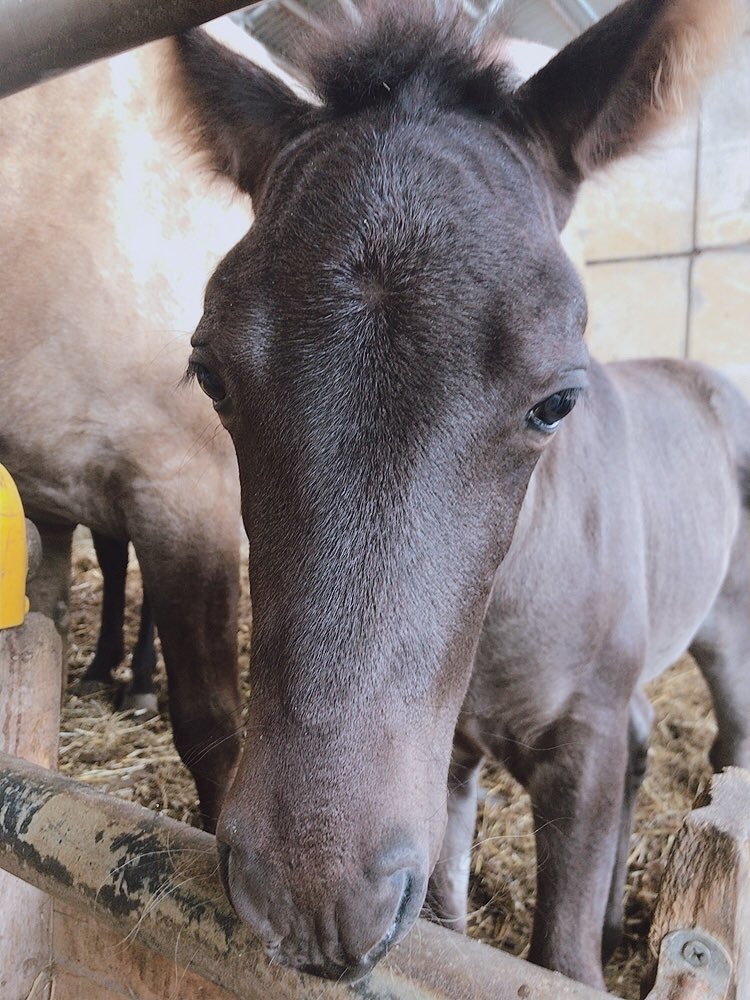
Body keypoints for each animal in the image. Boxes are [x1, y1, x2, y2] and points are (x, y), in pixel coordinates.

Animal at [166, 0, 750, 984]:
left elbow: (560, 956)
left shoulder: (581, 740)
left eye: (557, 400)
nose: (311, 898)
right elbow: (443, 921)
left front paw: (587, 944)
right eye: (209, 373)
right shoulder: (445, 768)